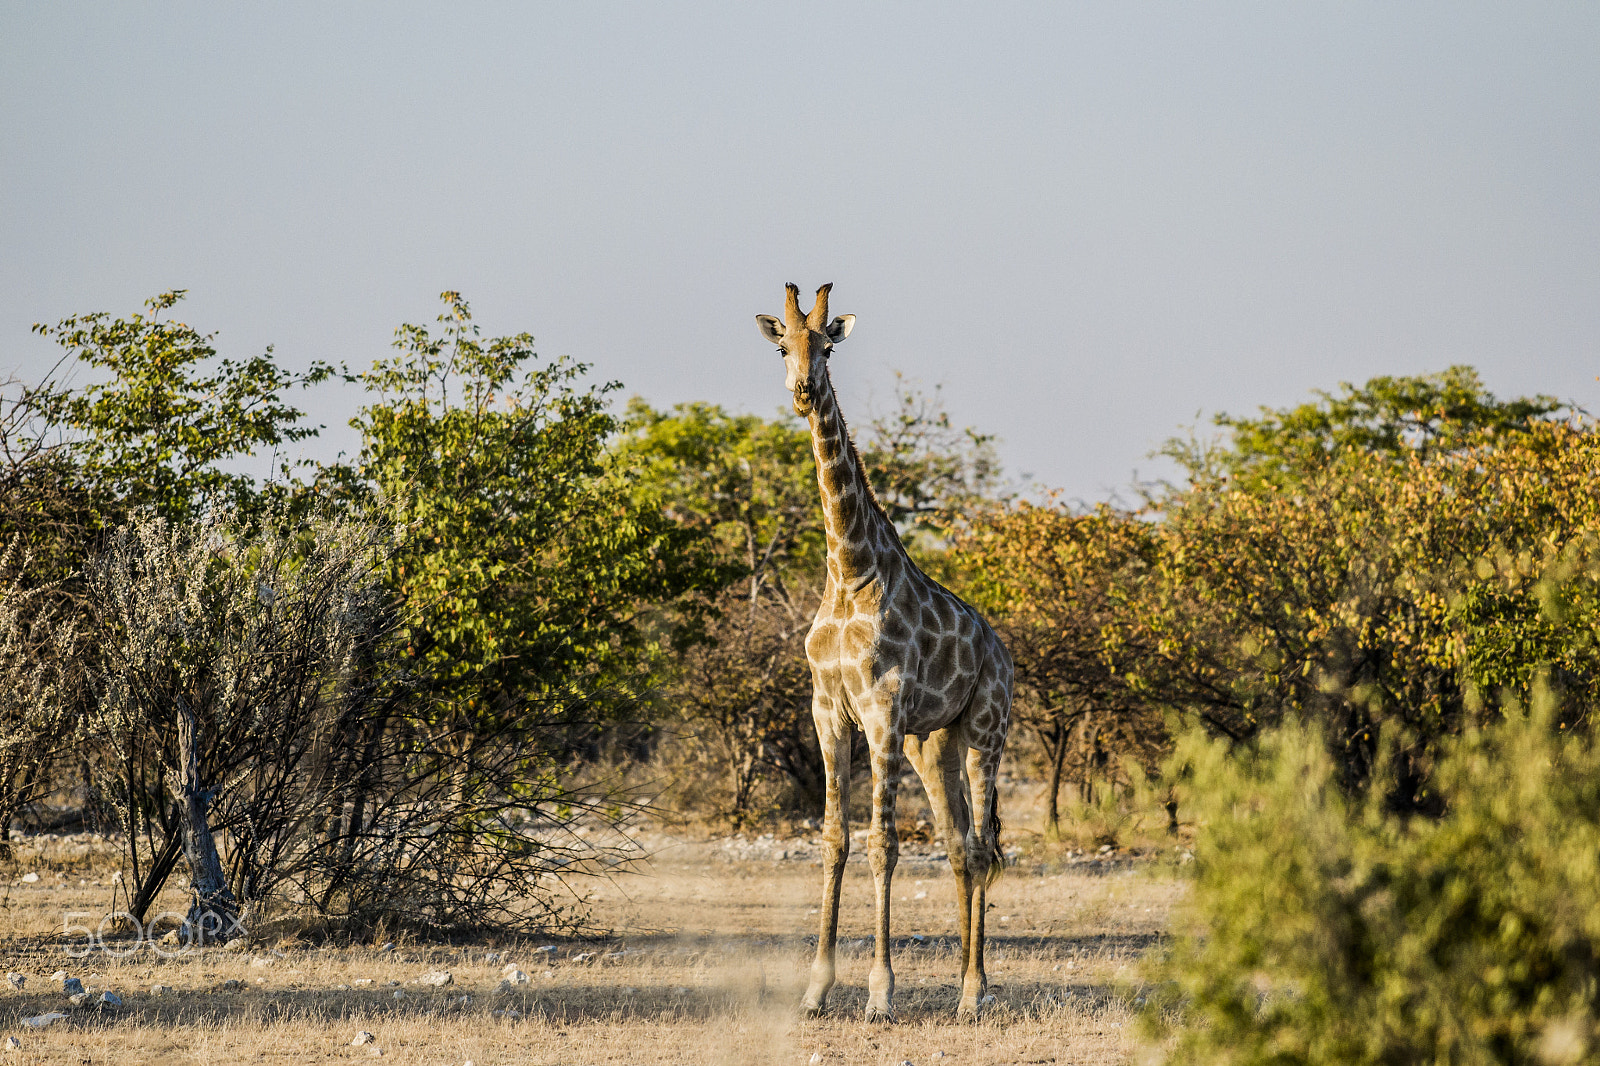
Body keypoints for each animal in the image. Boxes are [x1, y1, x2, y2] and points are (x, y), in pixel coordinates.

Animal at [756, 283, 1013, 1022]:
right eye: (783, 347)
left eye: (829, 347)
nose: (803, 391)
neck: (849, 572)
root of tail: (1004, 653)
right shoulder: (827, 709)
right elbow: (835, 840)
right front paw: (817, 988)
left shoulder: (882, 710)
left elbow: (884, 847)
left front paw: (880, 992)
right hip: (936, 744)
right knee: (958, 847)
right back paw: (964, 984)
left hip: (987, 731)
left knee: (980, 846)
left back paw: (974, 992)